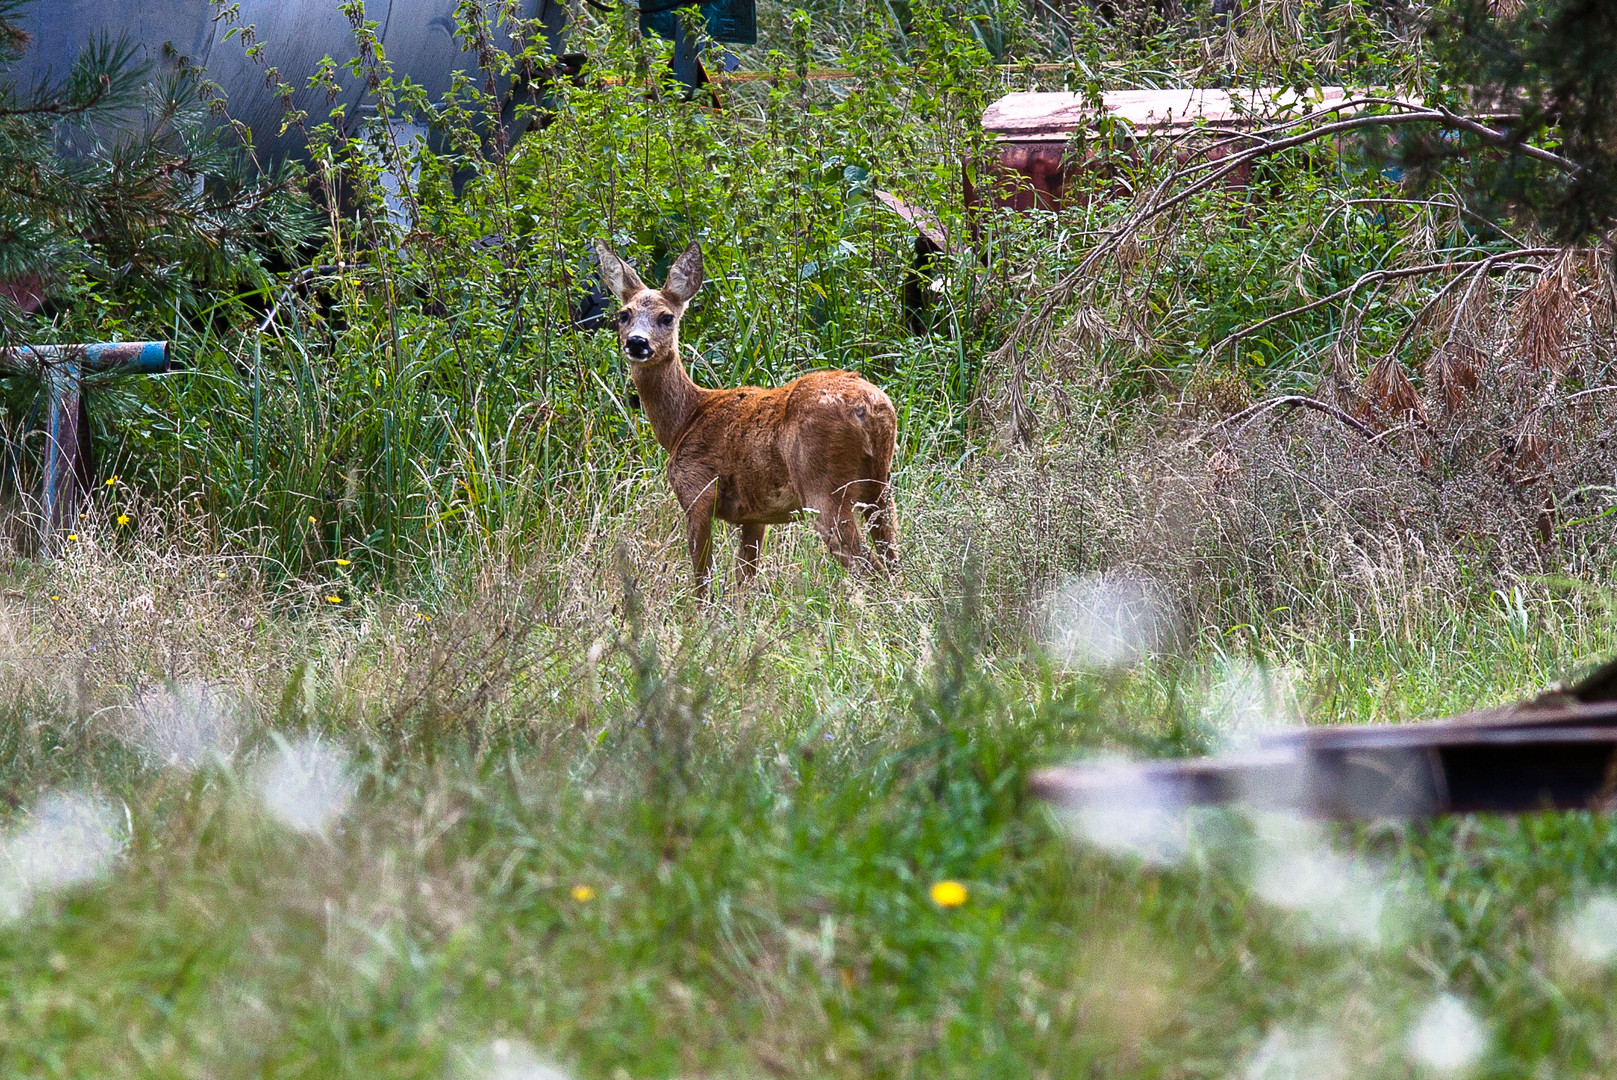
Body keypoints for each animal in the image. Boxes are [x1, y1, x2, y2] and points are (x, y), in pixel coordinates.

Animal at [598, 240, 905, 594]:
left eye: (666, 317)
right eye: (624, 314)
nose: (637, 342)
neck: (683, 422)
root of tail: (870, 409)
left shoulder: (697, 491)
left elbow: (703, 580)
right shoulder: (754, 516)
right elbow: (743, 581)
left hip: (825, 486)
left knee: (868, 567)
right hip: (880, 485)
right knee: (892, 561)